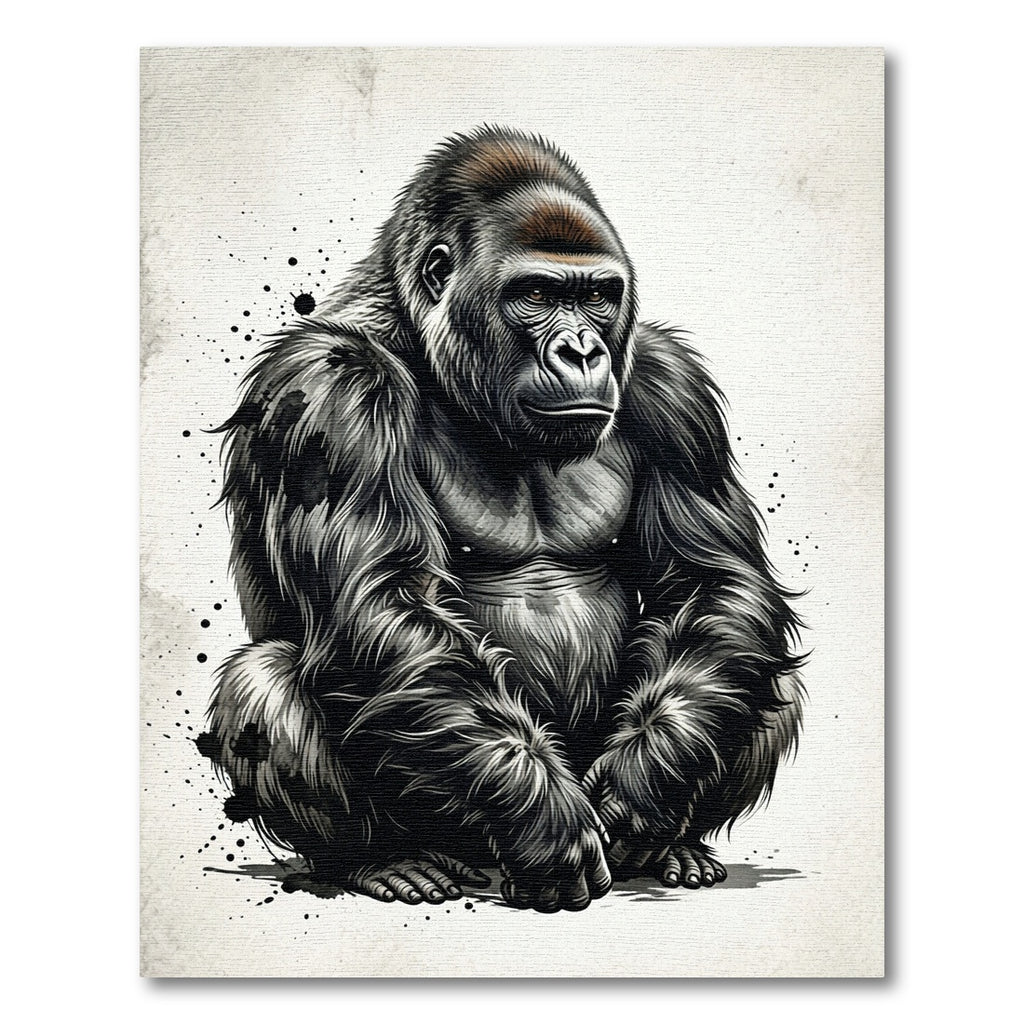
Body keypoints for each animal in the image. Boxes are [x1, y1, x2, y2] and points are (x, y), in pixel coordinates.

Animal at [197, 126, 804, 914]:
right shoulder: (331, 384)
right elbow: (384, 602)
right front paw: (546, 823)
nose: (582, 350)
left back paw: (670, 845)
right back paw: (384, 859)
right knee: (263, 679)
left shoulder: (673, 385)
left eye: (598, 296)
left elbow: (714, 585)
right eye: (537, 294)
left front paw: (645, 781)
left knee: (759, 675)